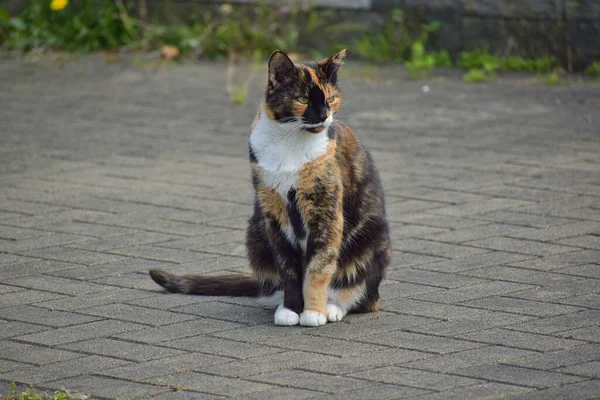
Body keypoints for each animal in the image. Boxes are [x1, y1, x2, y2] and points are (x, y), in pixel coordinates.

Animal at [150, 49, 392, 324]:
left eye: (330, 98)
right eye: (302, 99)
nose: (324, 115)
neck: (289, 143)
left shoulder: (325, 210)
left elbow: (319, 267)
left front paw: (313, 311)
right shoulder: (274, 213)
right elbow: (289, 270)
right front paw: (291, 309)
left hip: (372, 237)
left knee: (363, 296)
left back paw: (332, 307)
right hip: (255, 232)